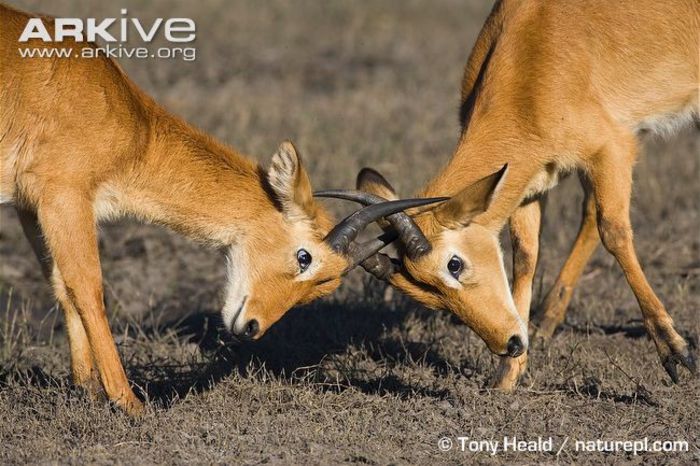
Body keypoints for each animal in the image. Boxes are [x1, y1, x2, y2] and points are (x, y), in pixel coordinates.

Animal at [0, 0, 446, 416]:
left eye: (324, 285)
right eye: (304, 257)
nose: (251, 328)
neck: (131, 125)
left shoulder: (32, 206)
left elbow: (61, 285)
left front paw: (88, 391)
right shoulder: (64, 194)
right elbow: (87, 287)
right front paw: (130, 403)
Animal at [320, 0, 696, 390]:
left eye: (454, 264)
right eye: (426, 294)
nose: (510, 343)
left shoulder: (612, 149)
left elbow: (615, 232)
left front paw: (675, 352)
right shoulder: (531, 181)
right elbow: (526, 255)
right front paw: (507, 374)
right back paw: (545, 323)